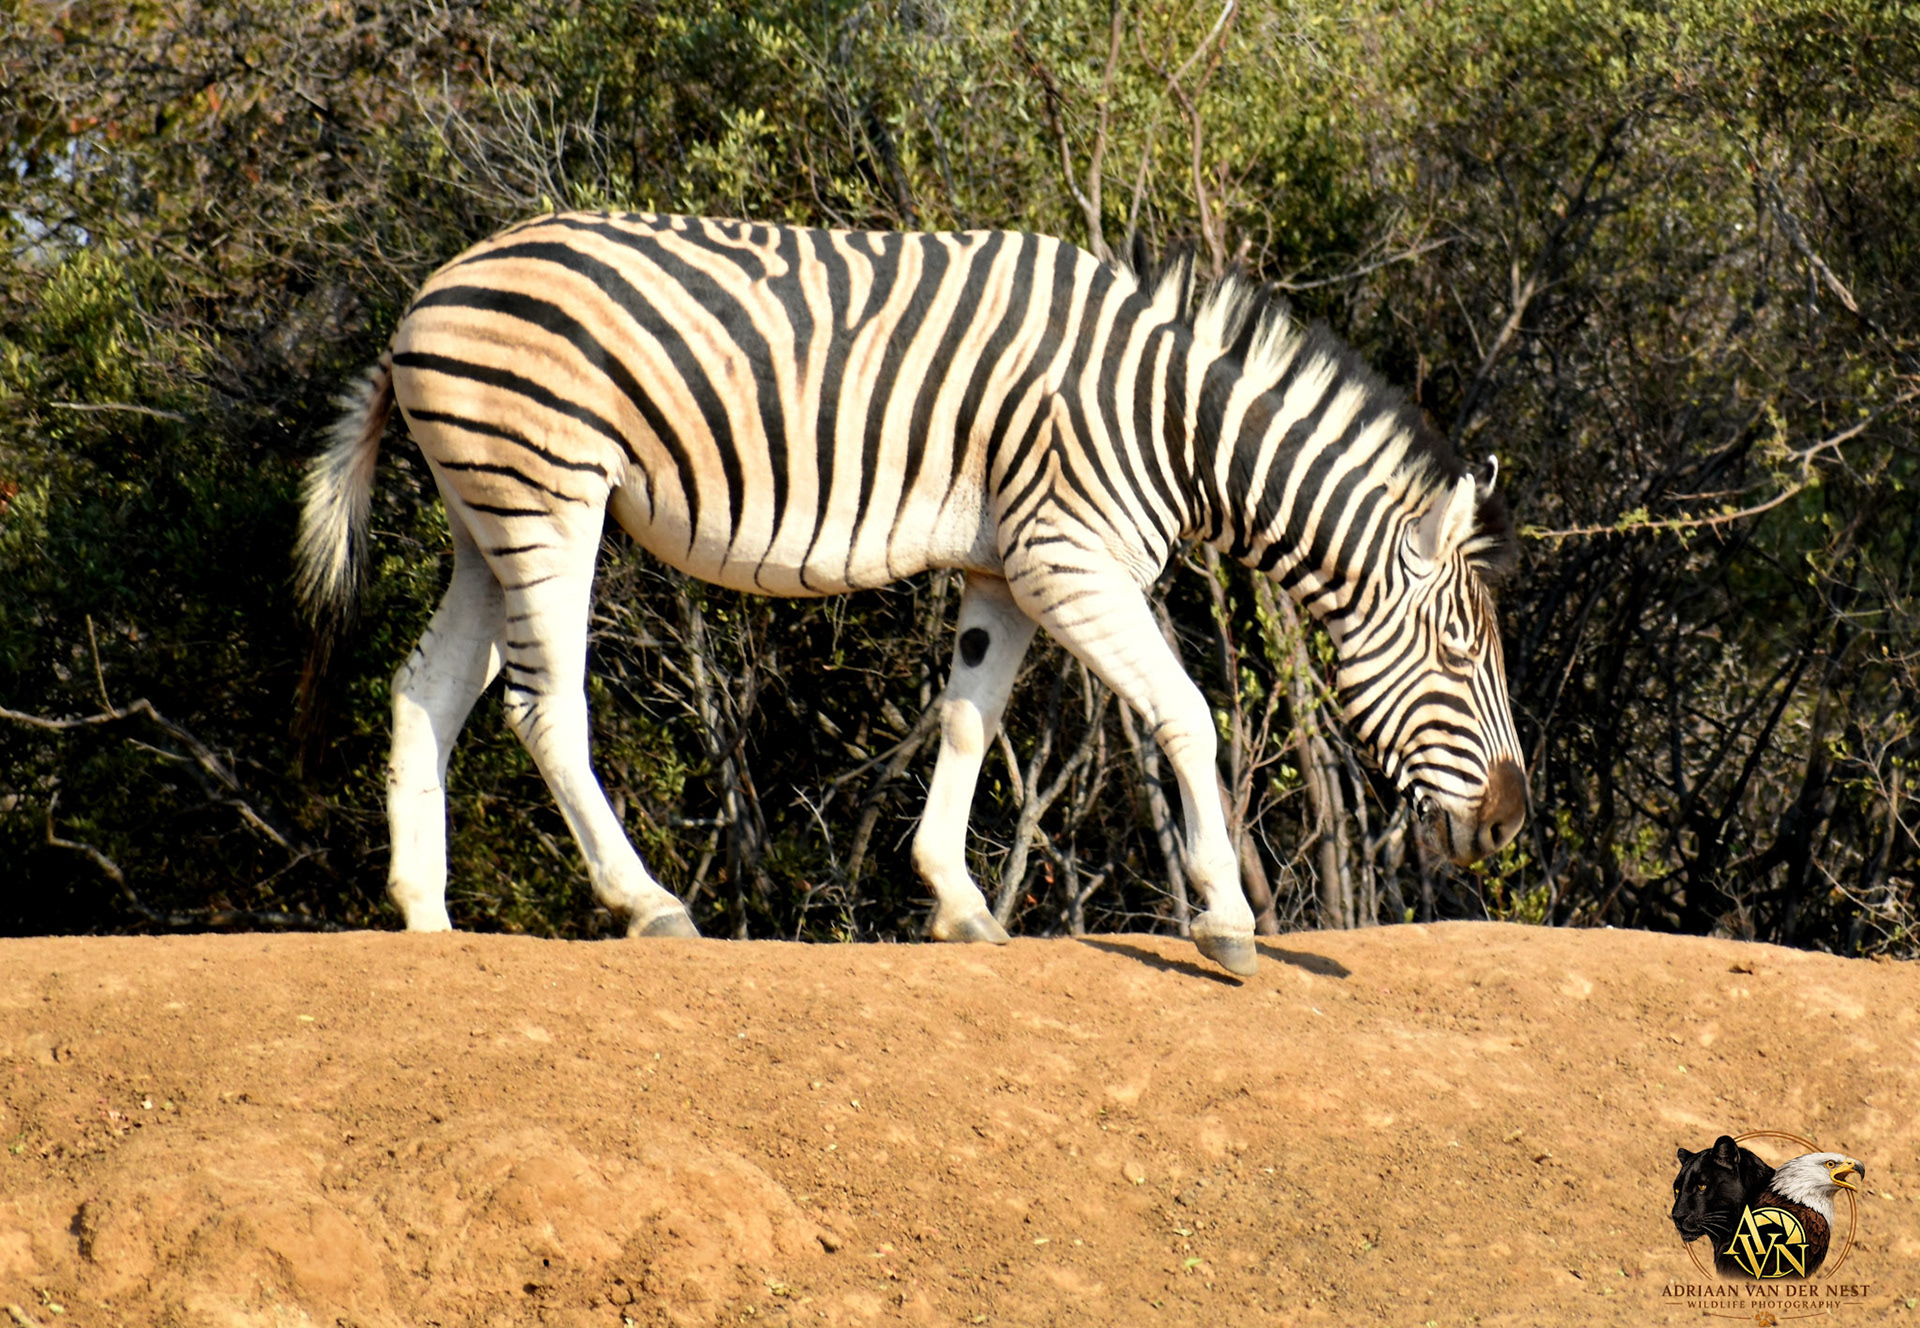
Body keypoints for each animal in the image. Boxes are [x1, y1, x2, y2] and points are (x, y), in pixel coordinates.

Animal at [297, 212, 1527, 977]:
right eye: (1462, 657)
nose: (1513, 819)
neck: (1168, 421)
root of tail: (426, 296)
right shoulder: (1068, 556)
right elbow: (1187, 713)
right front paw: (1223, 919)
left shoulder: (1005, 569)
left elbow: (968, 720)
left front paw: (956, 899)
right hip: (549, 492)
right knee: (543, 705)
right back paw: (649, 906)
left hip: (483, 514)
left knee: (427, 688)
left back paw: (426, 918)